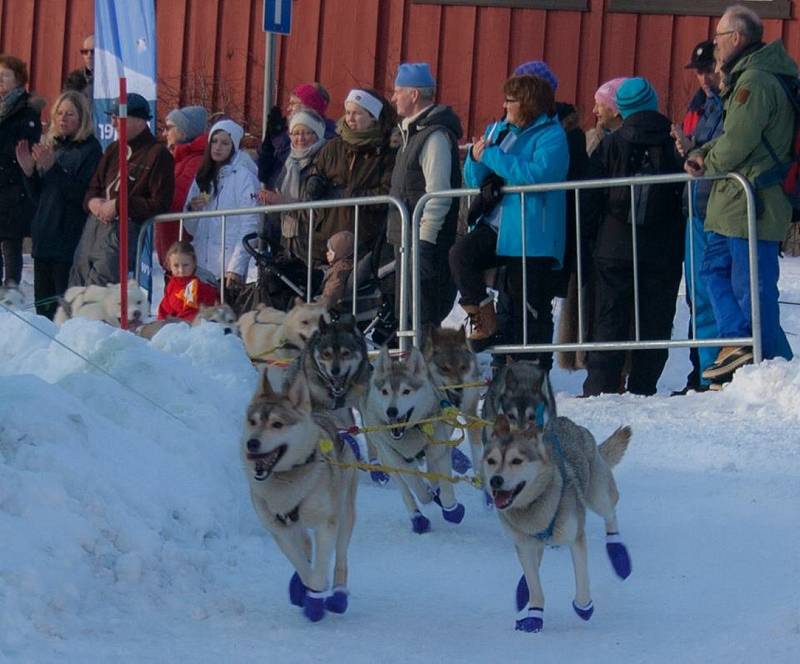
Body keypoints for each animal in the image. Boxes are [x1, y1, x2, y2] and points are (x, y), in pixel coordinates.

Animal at [360, 348, 466, 536]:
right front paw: (427, 496)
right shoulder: (396, 458)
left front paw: (451, 509)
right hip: (386, 459)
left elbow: (444, 485)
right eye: (385, 391)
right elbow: (418, 488)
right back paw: (418, 518)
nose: (391, 411)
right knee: (406, 490)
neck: (409, 432)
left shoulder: (438, 448)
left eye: (406, 391)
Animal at [484, 416, 636, 632]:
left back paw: (618, 555)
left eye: (516, 461)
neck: (535, 506)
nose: (495, 480)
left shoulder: (575, 537)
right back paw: (522, 589)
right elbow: (534, 584)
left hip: (599, 496)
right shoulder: (523, 544)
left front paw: (584, 607)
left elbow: (582, 577)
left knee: (611, 514)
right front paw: (534, 616)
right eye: (491, 461)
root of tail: (565, 420)